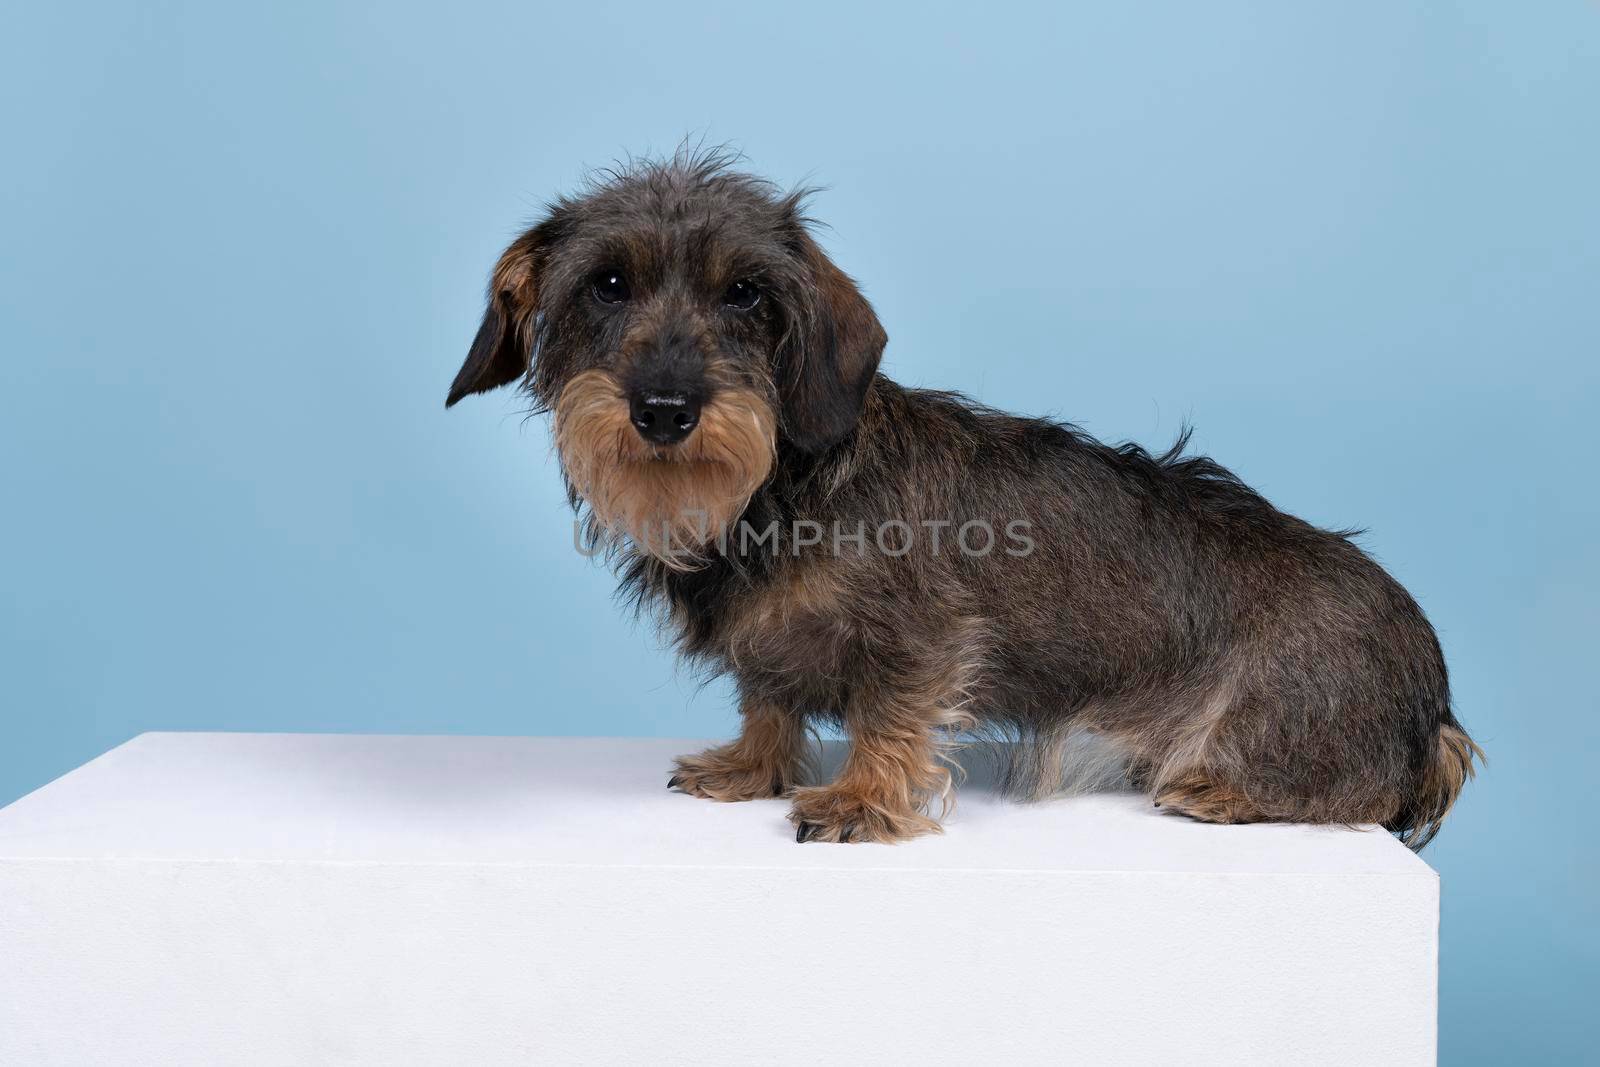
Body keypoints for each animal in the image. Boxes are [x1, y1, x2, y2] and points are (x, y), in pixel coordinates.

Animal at [444, 151, 1478, 851]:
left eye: (746, 294)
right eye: (607, 284)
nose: (664, 409)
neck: (777, 491)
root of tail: (1435, 704)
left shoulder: (923, 636)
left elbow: (890, 711)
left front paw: (861, 799)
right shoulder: (768, 648)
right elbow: (770, 696)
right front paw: (749, 767)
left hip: (1285, 718)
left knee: (1352, 791)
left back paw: (1224, 789)